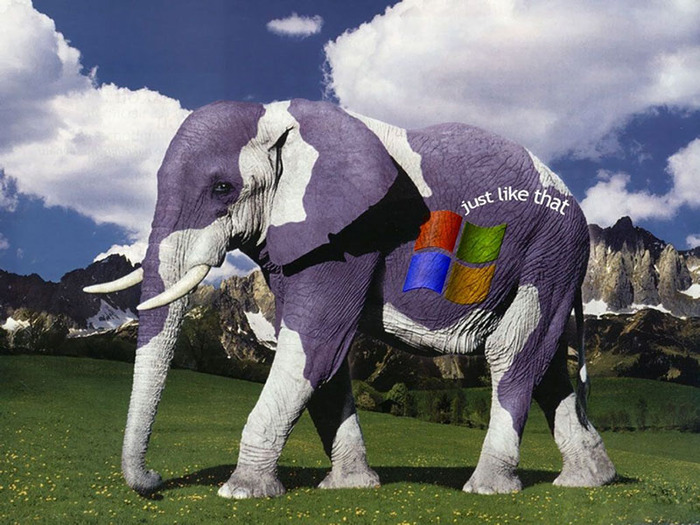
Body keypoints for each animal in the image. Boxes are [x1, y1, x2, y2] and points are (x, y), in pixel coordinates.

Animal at [85, 99, 616, 498]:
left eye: (223, 188)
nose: (155, 480)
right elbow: (325, 356)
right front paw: (350, 487)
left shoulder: (351, 235)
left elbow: (315, 342)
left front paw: (240, 493)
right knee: (547, 367)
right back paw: (589, 482)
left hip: (551, 248)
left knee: (512, 352)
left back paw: (487, 489)